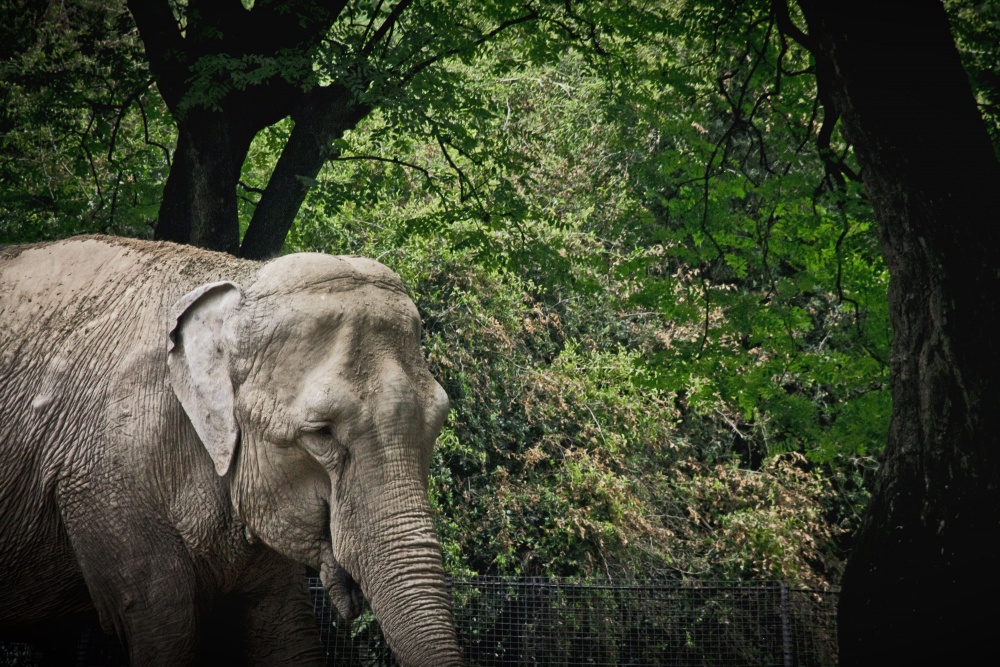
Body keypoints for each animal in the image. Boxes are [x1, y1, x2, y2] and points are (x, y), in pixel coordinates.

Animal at [0, 237, 460, 664]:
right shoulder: (105, 478)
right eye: (321, 435)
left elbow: (286, 634)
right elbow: (168, 626)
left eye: (438, 421)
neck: (237, 283)